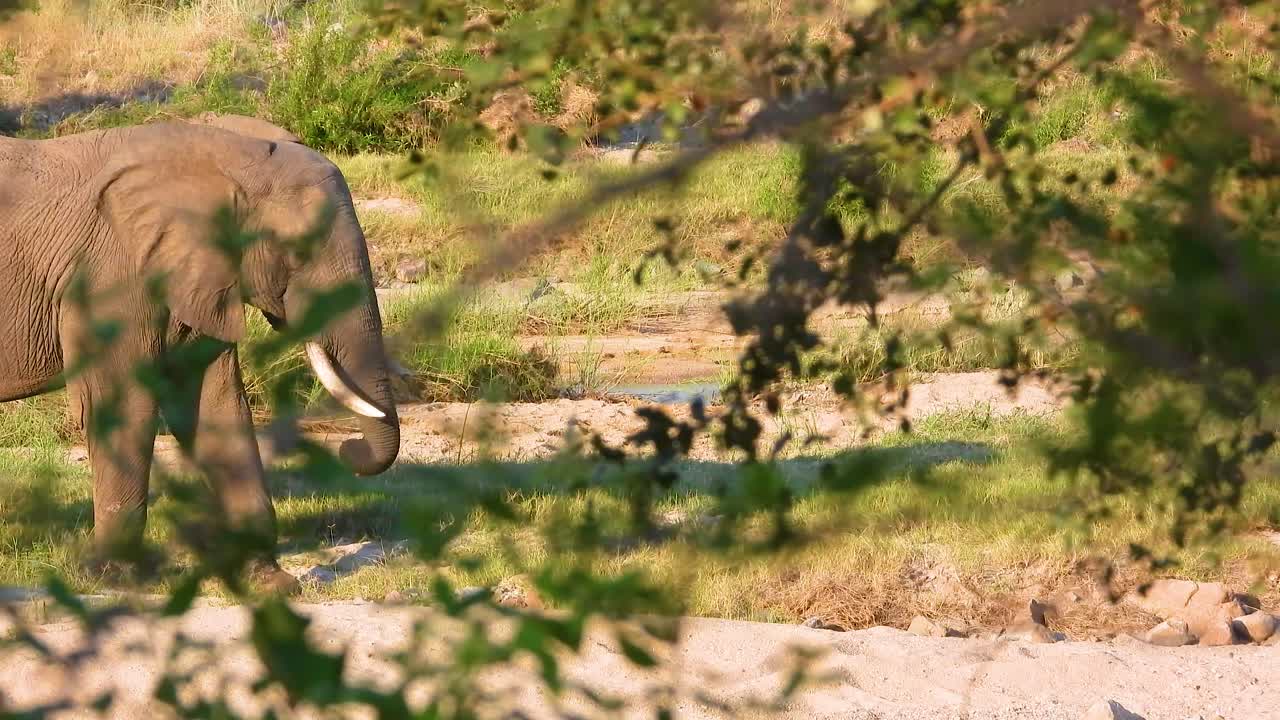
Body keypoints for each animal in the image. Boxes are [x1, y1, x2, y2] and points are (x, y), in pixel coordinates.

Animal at [0, 116, 401, 592]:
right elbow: (122, 405)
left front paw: (271, 581)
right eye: (297, 252)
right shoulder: (108, 278)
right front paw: (114, 580)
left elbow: (216, 406)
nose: (349, 449)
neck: (229, 156)